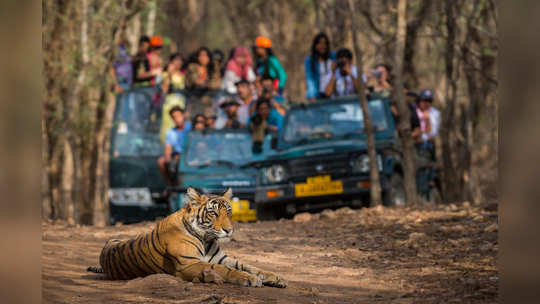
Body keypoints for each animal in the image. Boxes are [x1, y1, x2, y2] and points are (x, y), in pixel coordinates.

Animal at [87, 185, 286, 288]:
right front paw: (250, 279)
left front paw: (275, 277)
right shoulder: (189, 263)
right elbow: (227, 270)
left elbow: (249, 265)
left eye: (229, 212)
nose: (229, 230)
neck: (206, 238)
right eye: (213, 213)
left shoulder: (222, 258)